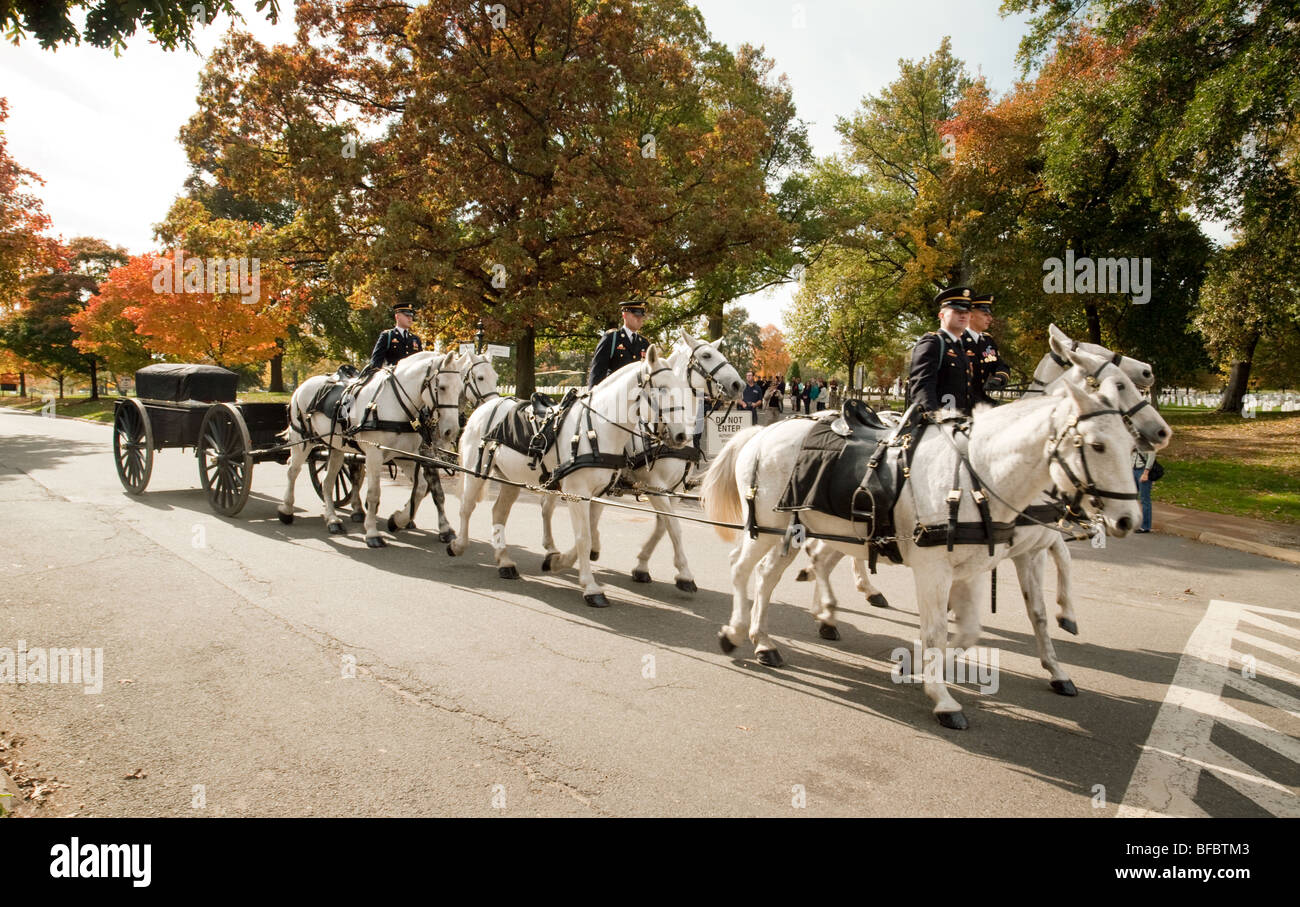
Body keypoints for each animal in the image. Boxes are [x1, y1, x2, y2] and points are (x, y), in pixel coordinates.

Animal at [279, 350, 467, 548]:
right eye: (442, 387)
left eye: (460, 389)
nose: (451, 430)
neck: (394, 405)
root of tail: (302, 386)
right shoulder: (374, 454)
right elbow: (374, 493)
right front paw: (372, 532)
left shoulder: (405, 456)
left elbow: (423, 489)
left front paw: (398, 520)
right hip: (301, 440)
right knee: (293, 471)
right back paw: (286, 510)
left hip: (336, 448)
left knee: (328, 481)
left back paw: (333, 520)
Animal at [447, 345, 696, 608]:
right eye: (662, 388)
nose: (682, 436)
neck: (596, 429)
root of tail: (487, 406)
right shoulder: (579, 493)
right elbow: (584, 537)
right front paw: (591, 587)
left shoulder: (599, 494)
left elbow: (591, 534)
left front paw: (557, 561)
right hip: (475, 471)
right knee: (467, 506)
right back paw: (458, 544)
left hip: (511, 479)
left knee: (499, 513)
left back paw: (504, 561)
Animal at [535, 328, 743, 589]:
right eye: (706, 355)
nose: (739, 384)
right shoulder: (654, 486)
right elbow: (673, 527)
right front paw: (684, 573)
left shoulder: (672, 491)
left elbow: (663, 526)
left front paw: (642, 565)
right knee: (548, 507)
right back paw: (551, 548)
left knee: (589, 512)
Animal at [702, 356, 1138, 727]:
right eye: (1097, 445)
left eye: (1129, 446)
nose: (1128, 519)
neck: (975, 474)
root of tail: (763, 432)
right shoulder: (938, 569)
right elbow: (938, 630)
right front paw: (942, 698)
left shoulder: (978, 568)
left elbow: (973, 629)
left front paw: (915, 667)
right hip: (768, 528)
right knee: (741, 569)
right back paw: (736, 632)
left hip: (797, 531)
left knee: (771, 576)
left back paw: (767, 640)